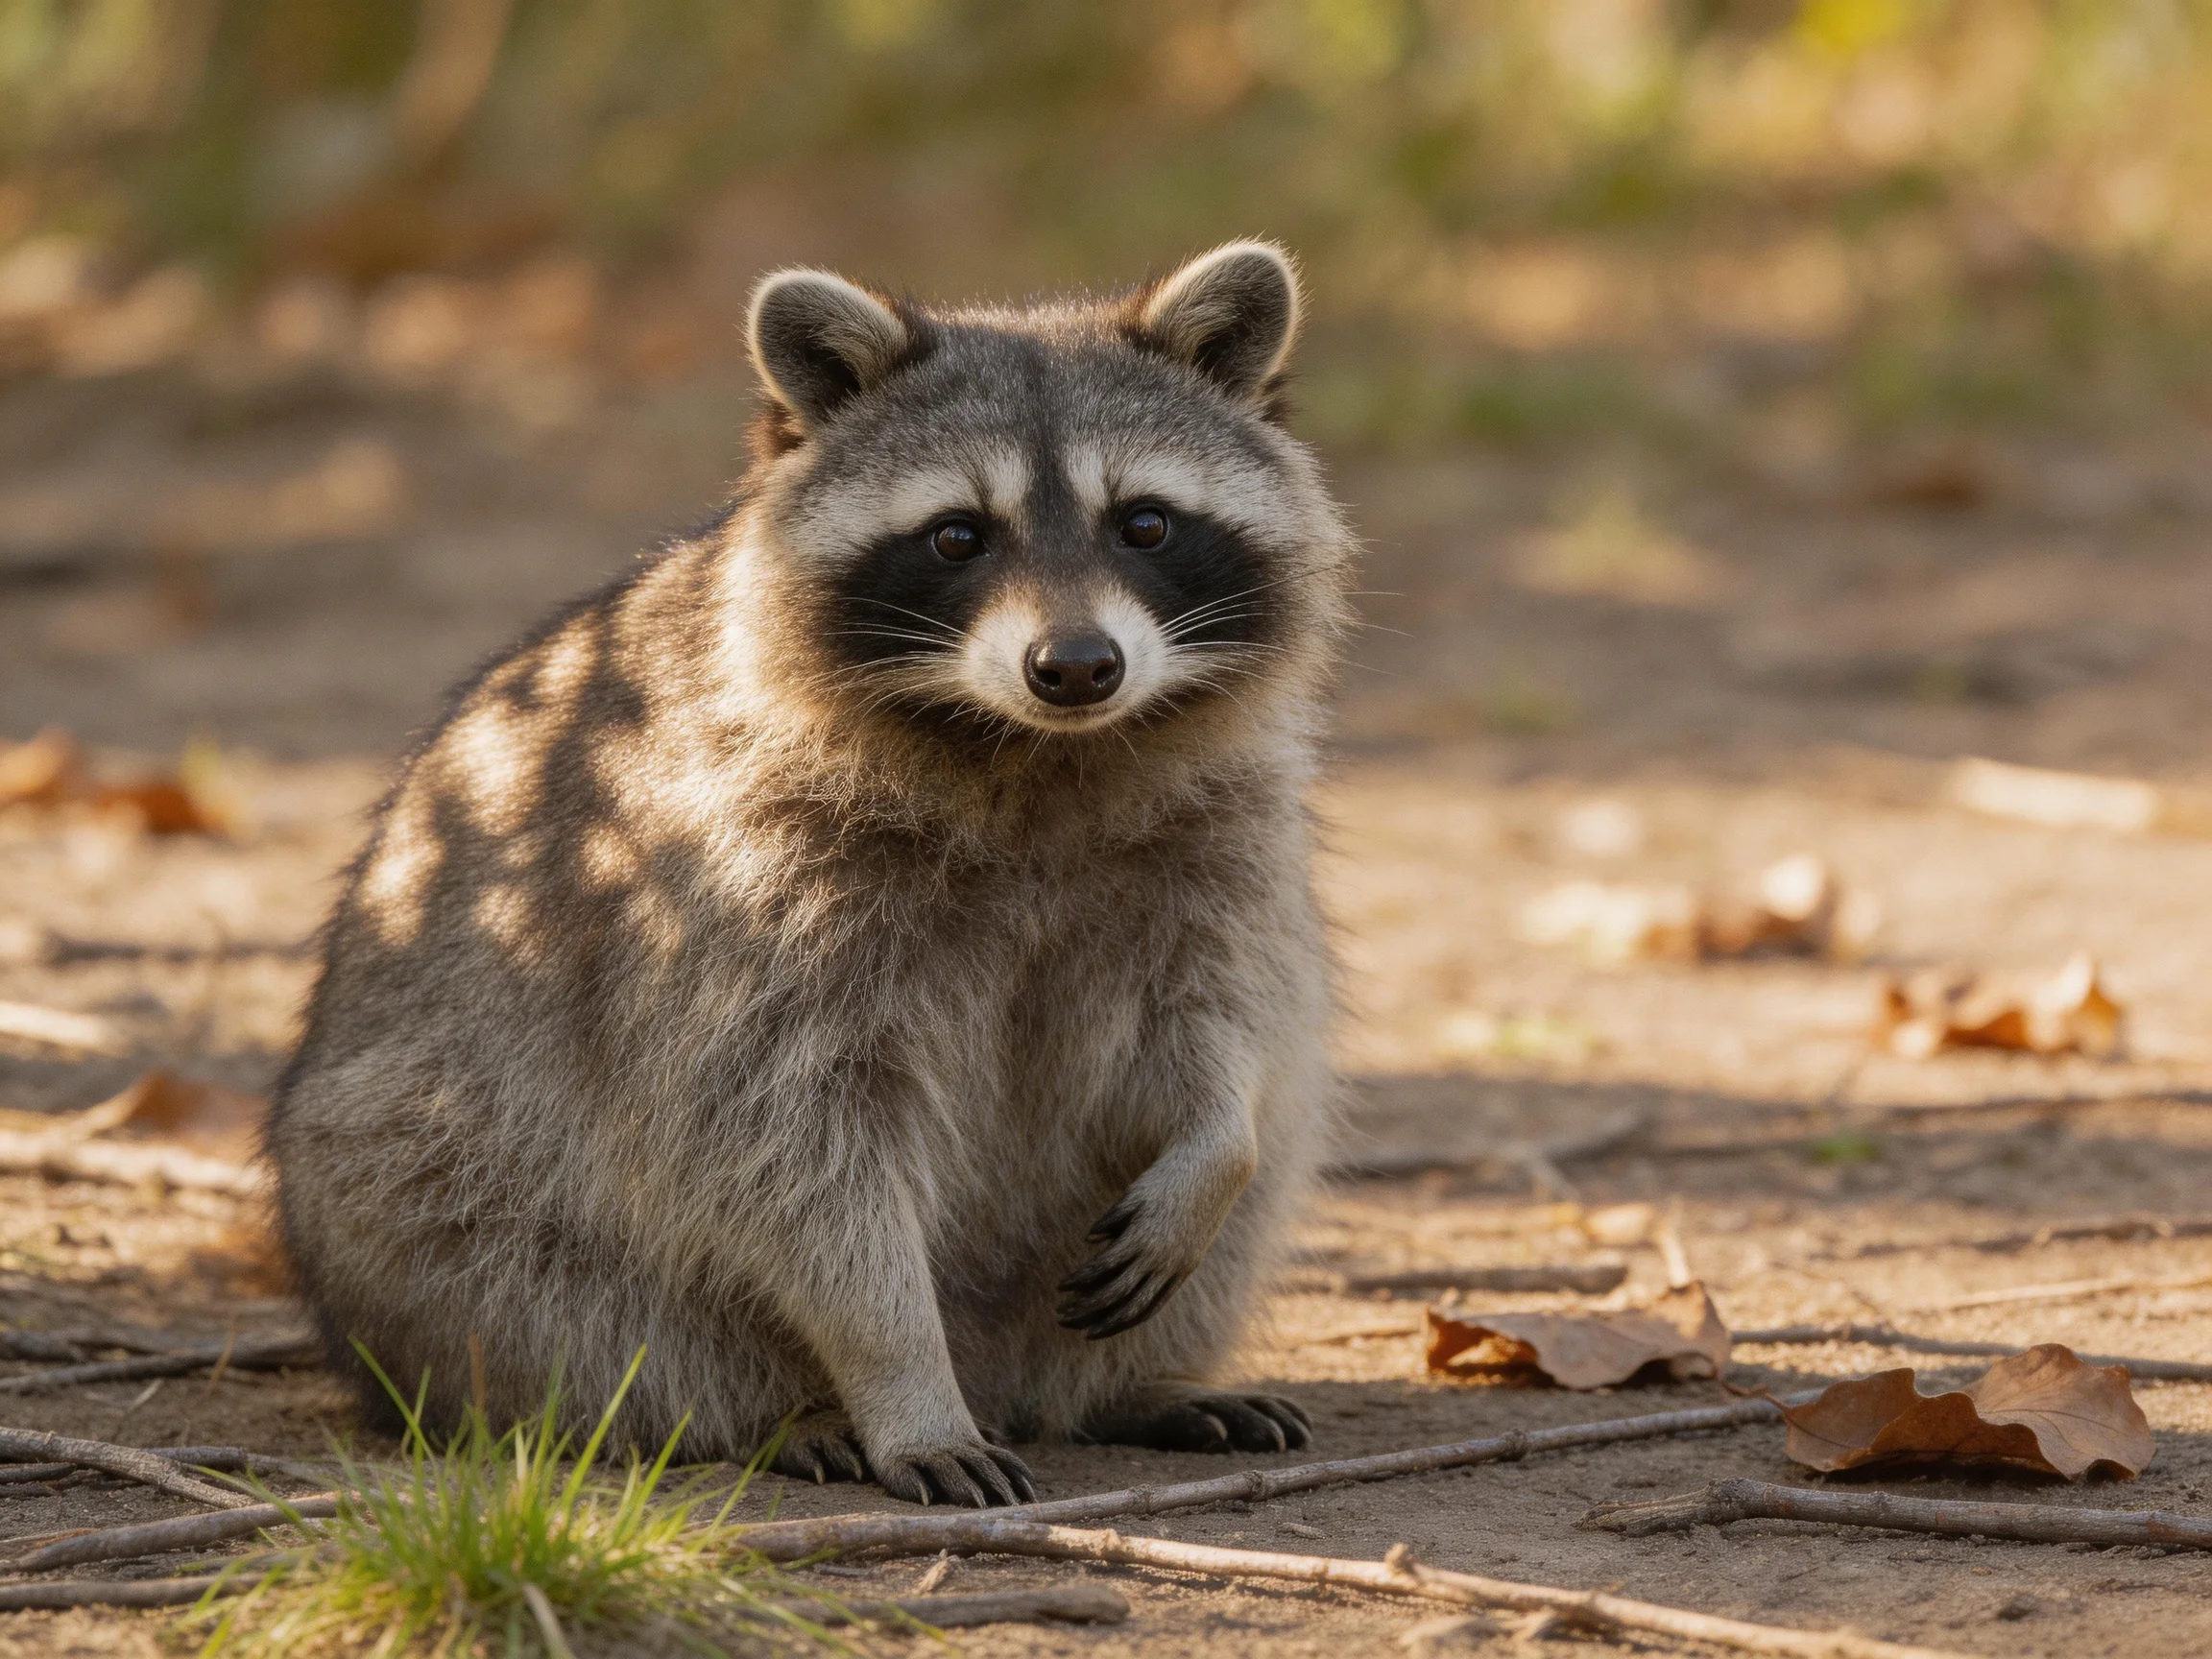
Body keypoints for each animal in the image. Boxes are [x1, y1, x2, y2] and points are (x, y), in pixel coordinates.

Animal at [266, 242, 1353, 1507]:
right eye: (957, 537)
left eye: (1144, 523)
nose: (1078, 666)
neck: (1034, 750)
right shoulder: (733, 888)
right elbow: (793, 1154)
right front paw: (901, 1380)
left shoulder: (1220, 840)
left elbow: (1228, 1027)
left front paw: (1216, 1138)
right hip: (407, 1209)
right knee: (571, 1307)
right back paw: (774, 1414)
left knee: (1270, 1158)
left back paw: (1127, 1389)